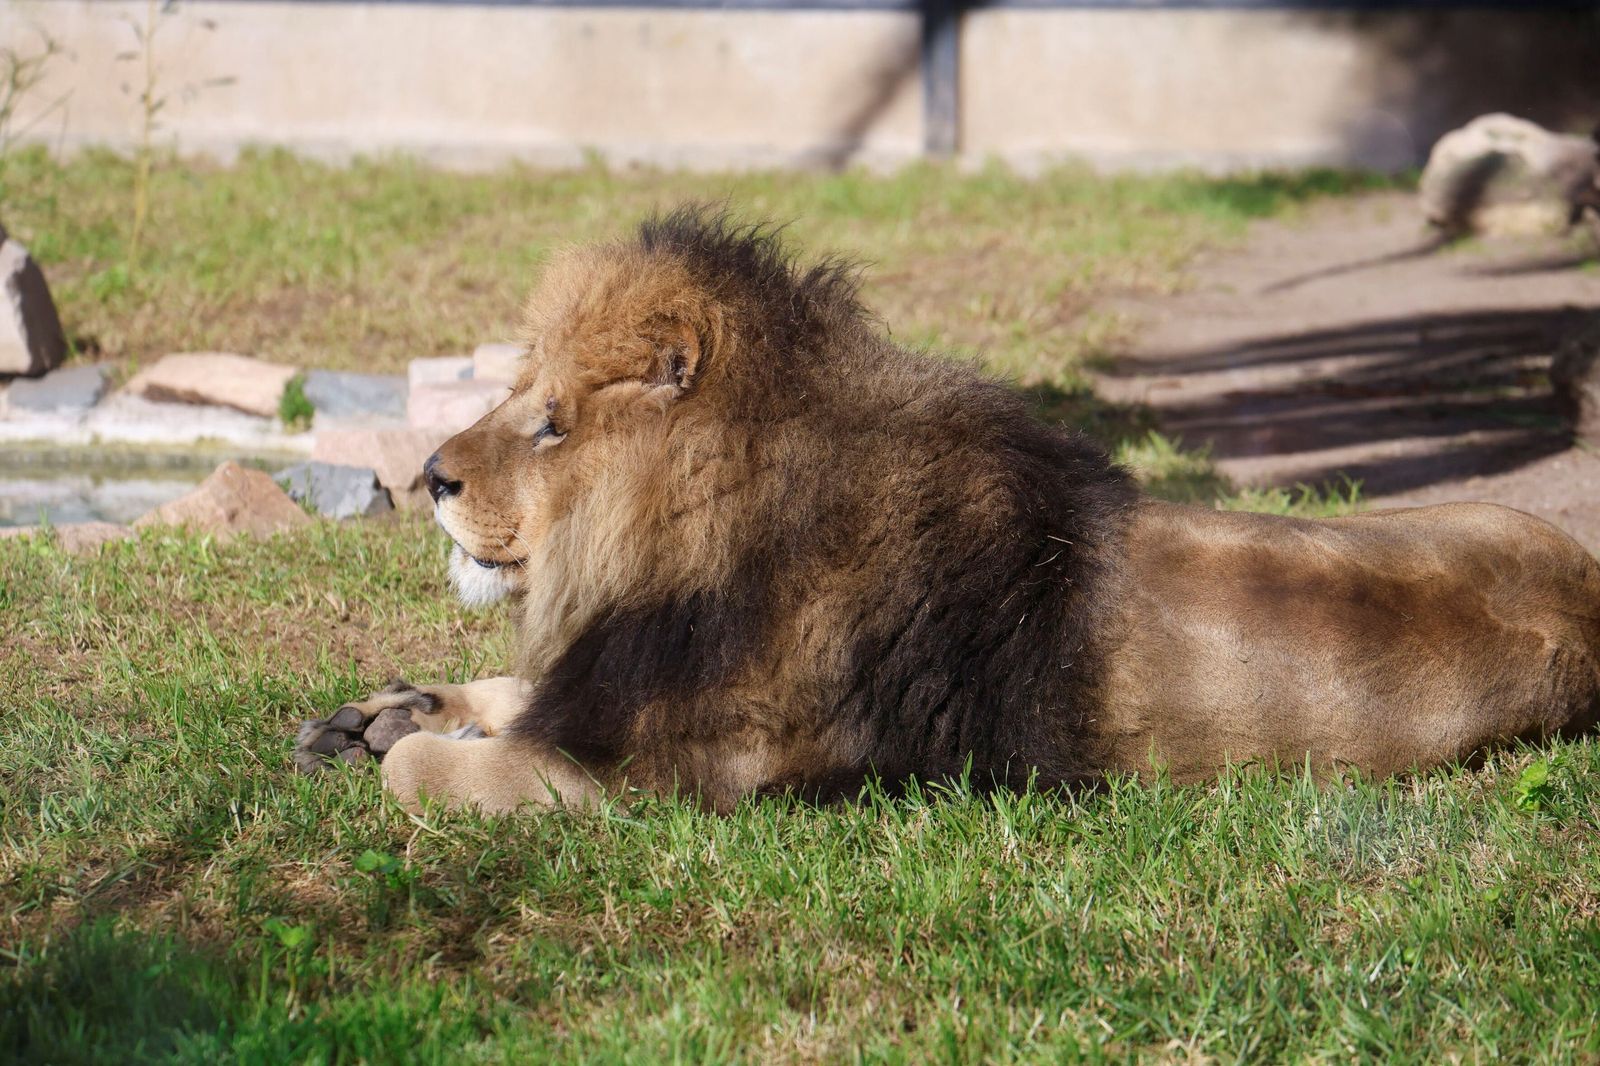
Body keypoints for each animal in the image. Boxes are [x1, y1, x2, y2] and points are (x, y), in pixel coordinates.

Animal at [294, 207, 1600, 813]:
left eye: (553, 422)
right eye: (515, 392)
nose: (429, 476)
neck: (681, 551)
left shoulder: (661, 774)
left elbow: (430, 774)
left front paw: (406, 741)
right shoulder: (612, 679)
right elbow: (507, 691)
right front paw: (382, 710)